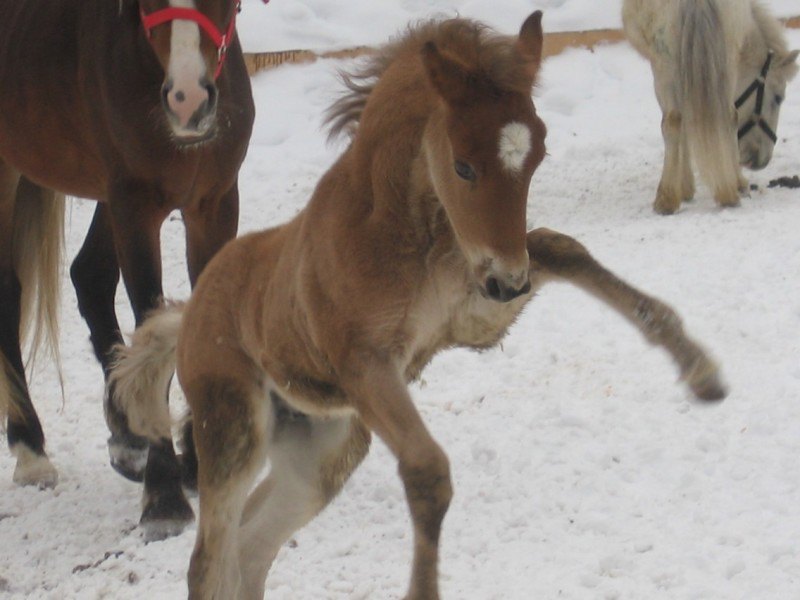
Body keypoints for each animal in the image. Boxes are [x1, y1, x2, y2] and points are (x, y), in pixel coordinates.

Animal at [0, 0, 255, 516]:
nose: (188, 99)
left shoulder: (213, 204)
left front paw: (198, 459)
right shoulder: (136, 208)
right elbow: (151, 326)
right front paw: (165, 494)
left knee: (89, 276)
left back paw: (127, 437)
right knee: (8, 291)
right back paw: (31, 450)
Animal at [114, 11, 732, 596]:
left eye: (538, 154)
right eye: (463, 165)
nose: (511, 283)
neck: (409, 234)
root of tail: (190, 314)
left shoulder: (474, 312)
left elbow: (561, 247)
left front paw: (701, 371)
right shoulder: (365, 364)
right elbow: (428, 471)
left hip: (323, 447)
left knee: (250, 550)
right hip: (233, 426)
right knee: (209, 562)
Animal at [624, 0, 800, 213]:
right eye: (778, 97)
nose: (761, 161)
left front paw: (684, 188)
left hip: (669, 65)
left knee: (679, 121)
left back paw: (670, 198)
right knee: (727, 116)